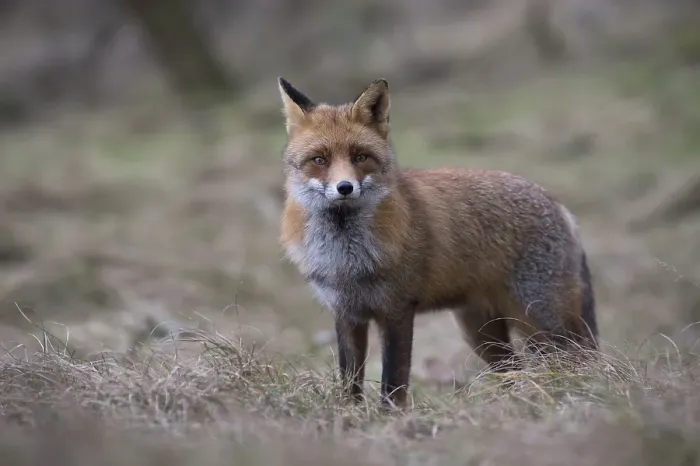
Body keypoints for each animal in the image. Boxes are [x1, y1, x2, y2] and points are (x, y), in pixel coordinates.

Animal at [277, 76, 598, 409]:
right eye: (319, 160)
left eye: (360, 157)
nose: (344, 187)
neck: (346, 259)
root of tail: (559, 205)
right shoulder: (346, 314)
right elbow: (350, 380)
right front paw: (350, 414)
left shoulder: (397, 311)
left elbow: (393, 382)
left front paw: (389, 417)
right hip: (482, 333)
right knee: (514, 369)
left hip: (542, 320)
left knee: (579, 359)